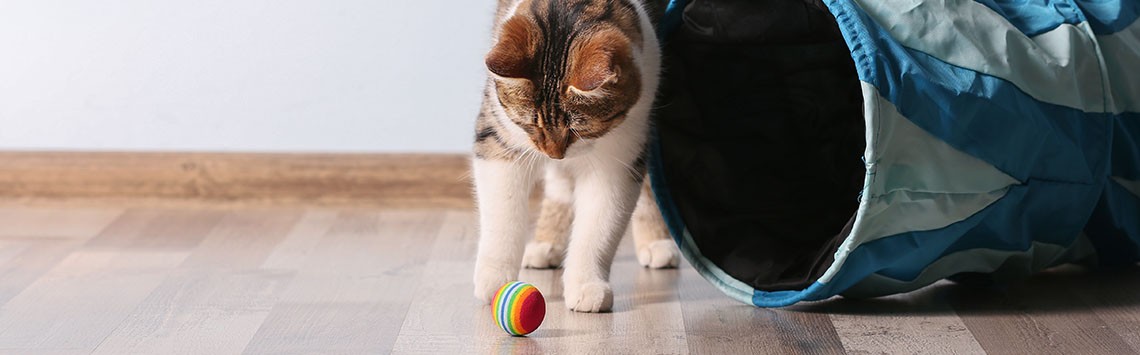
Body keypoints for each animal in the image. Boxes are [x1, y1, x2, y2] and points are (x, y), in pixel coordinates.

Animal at [469, 0, 674, 312]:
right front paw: (495, 279)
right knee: (559, 186)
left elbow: (598, 226)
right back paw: (545, 244)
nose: (553, 153)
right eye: (529, 124)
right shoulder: (497, 137)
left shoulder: (621, 150)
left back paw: (657, 244)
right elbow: (502, 213)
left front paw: (587, 285)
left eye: (579, 129)